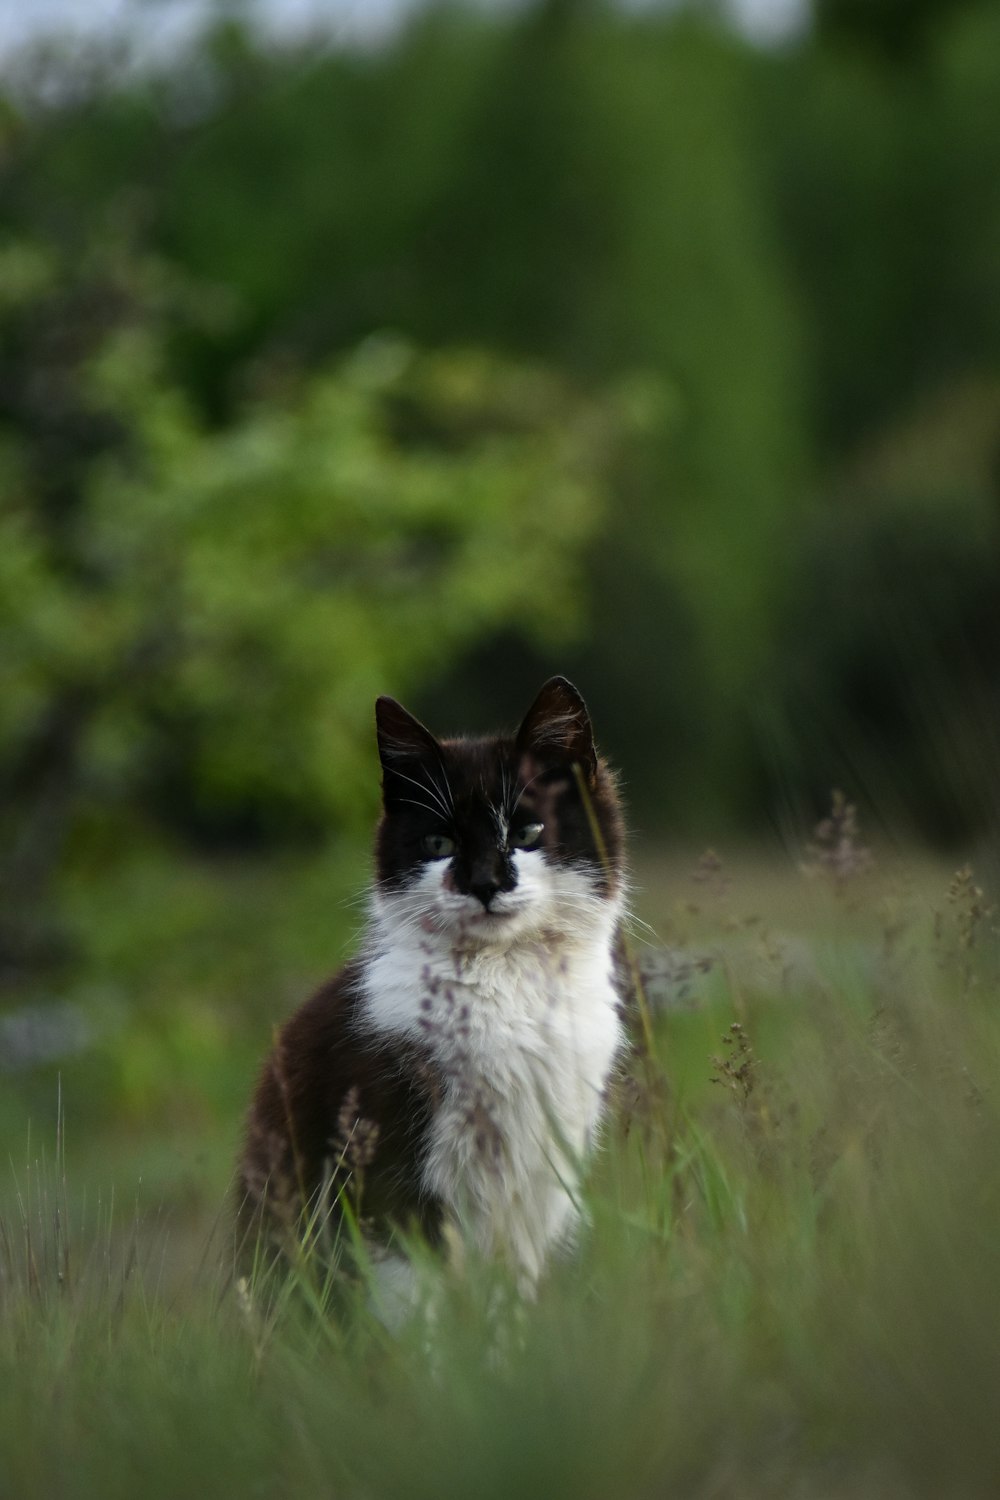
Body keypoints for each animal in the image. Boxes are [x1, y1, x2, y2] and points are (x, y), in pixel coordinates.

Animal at [236, 681, 626, 1302]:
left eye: (528, 833)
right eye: (438, 842)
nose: (485, 883)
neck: (502, 982)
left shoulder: (537, 1181)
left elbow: (507, 1302)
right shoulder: (385, 1171)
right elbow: (414, 1299)